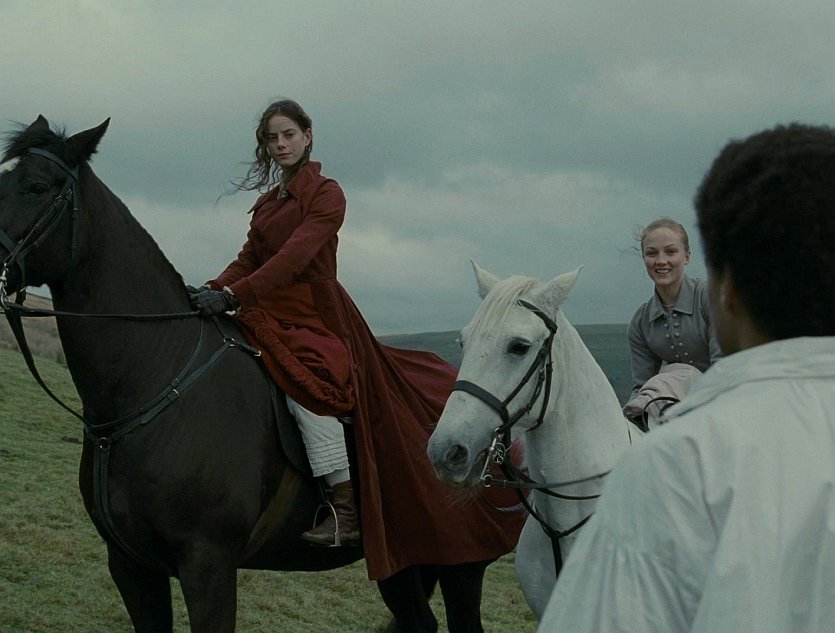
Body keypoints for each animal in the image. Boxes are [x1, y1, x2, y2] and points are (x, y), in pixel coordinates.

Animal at [0, 116, 493, 633]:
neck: (158, 378)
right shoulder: (130, 566)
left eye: (36, 187)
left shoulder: (208, 566)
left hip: (462, 566)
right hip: (401, 561)